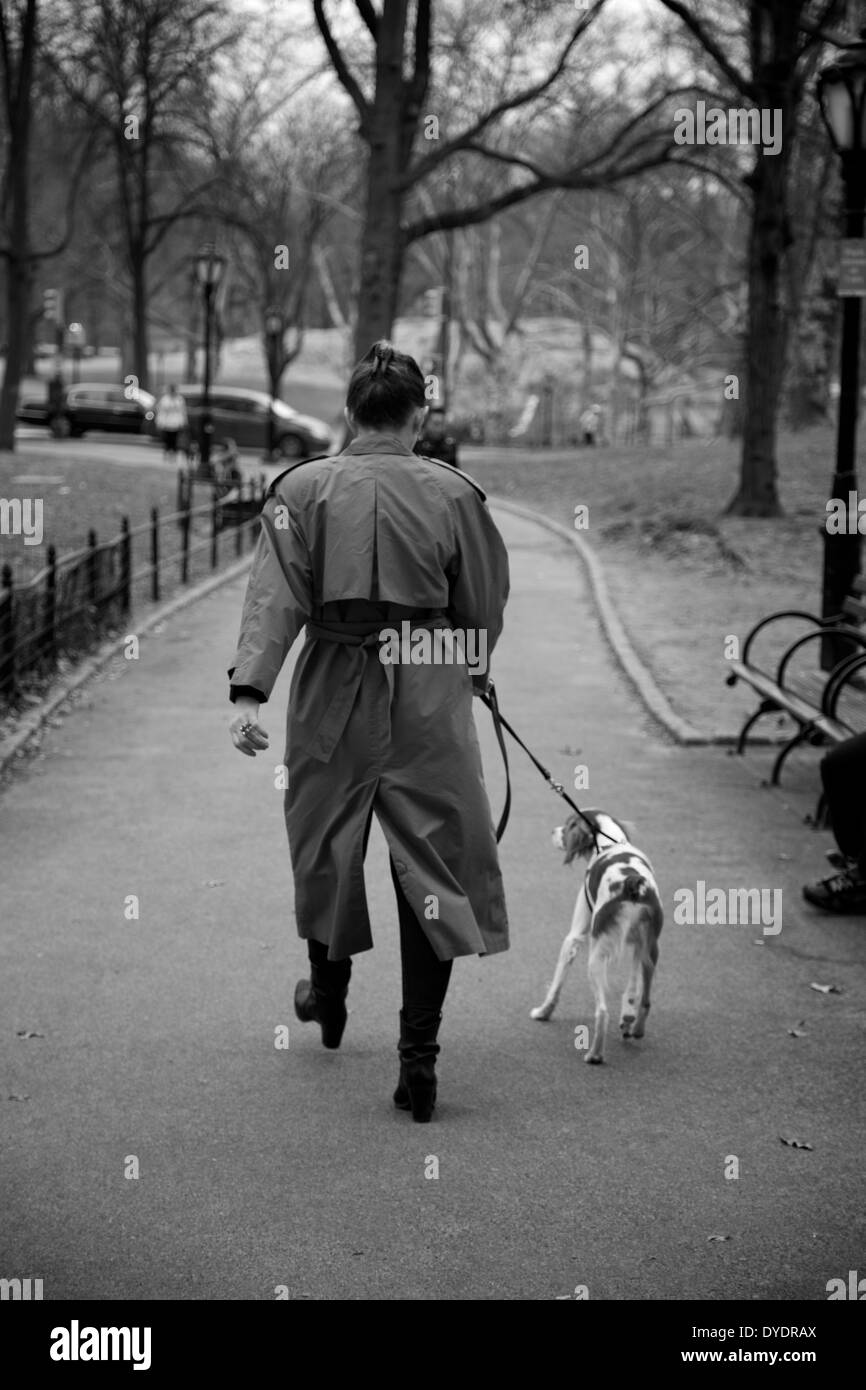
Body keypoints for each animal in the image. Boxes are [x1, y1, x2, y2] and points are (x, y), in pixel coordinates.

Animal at [528, 806, 664, 1061]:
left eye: (568, 825)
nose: (553, 831)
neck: (610, 843)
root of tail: (632, 883)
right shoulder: (637, 946)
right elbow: (632, 989)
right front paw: (627, 1016)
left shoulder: (573, 936)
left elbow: (556, 984)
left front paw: (543, 1012)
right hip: (651, 950)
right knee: (646, 1000)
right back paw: (635, 1028)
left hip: (596, 958)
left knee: (602, 1012)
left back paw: (595, 1055)